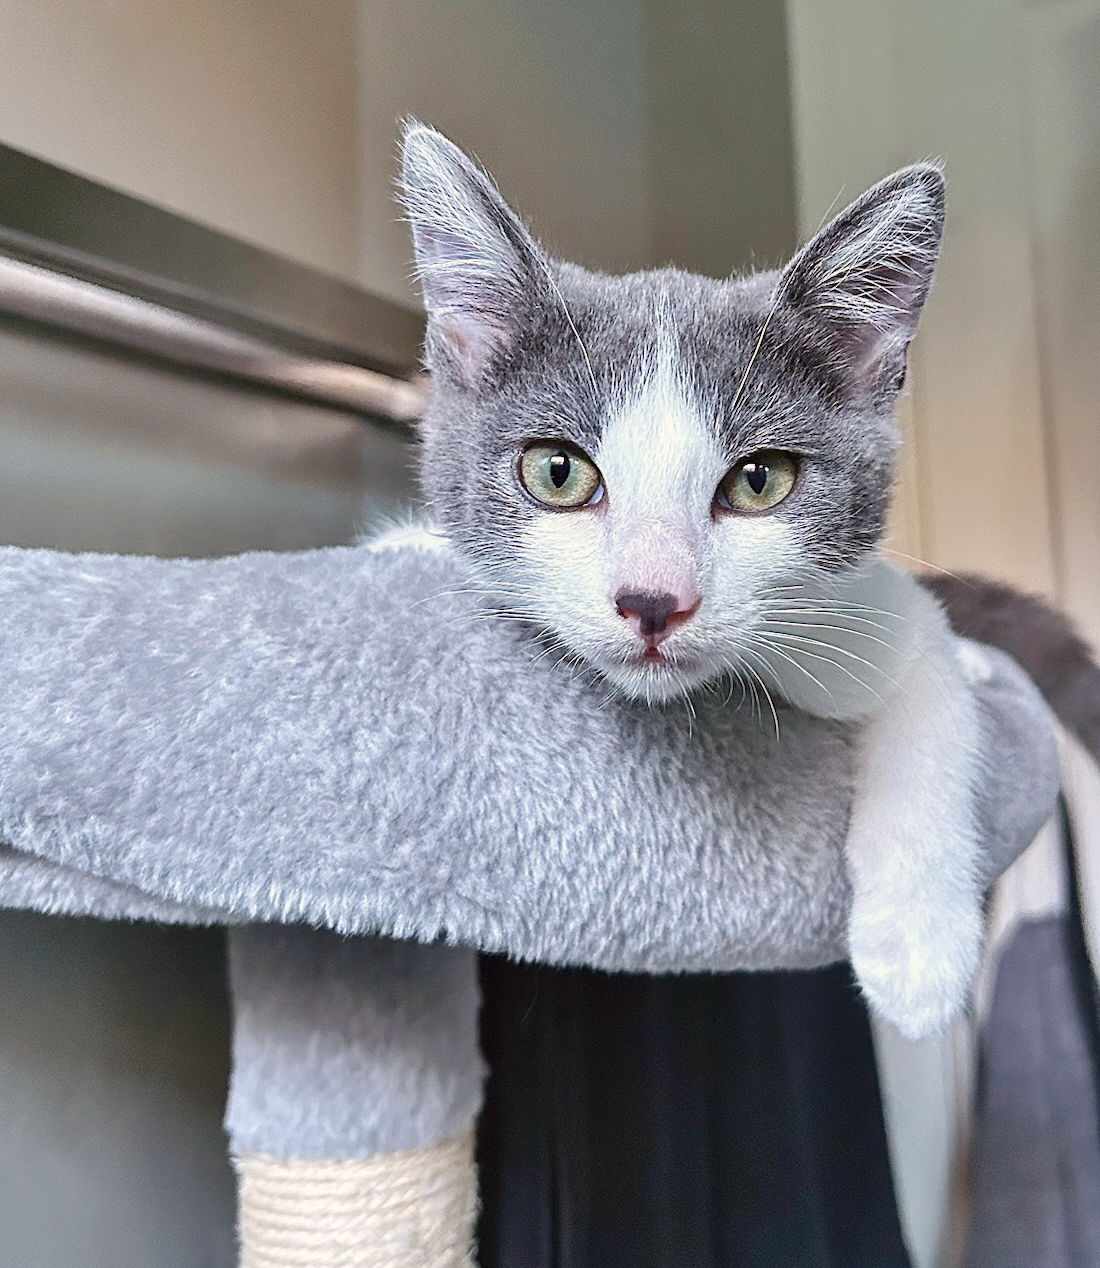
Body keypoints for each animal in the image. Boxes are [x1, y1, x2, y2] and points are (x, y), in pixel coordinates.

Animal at [390, 121, 1059, 1039]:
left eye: (759, 481)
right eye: (557, 471)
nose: (653, 601)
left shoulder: (870, 609)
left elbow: (933, 691)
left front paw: (918, 948)